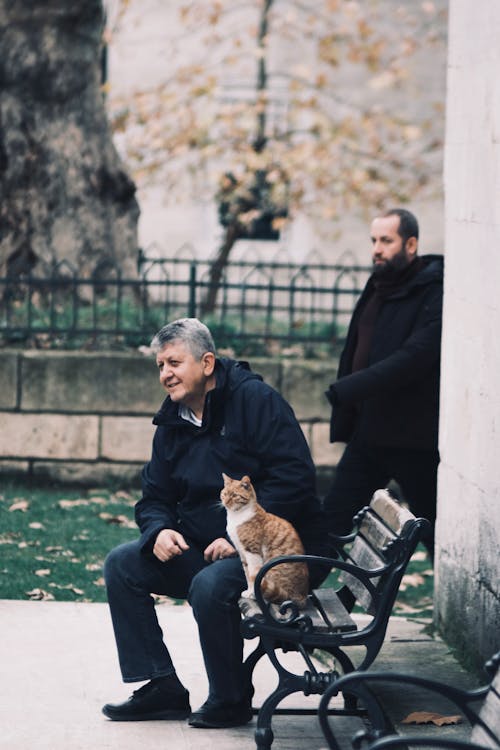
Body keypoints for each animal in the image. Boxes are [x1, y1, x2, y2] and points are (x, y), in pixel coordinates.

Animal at [222, 476, 310, 612]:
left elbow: (252, 576)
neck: (236, 517)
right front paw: (248, 591)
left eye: (234, 495)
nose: (225, 502)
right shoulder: (242, 553)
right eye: (224, 494)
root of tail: (302, 599)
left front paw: (253, 594)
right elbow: (247, 574)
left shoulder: (252, 551)